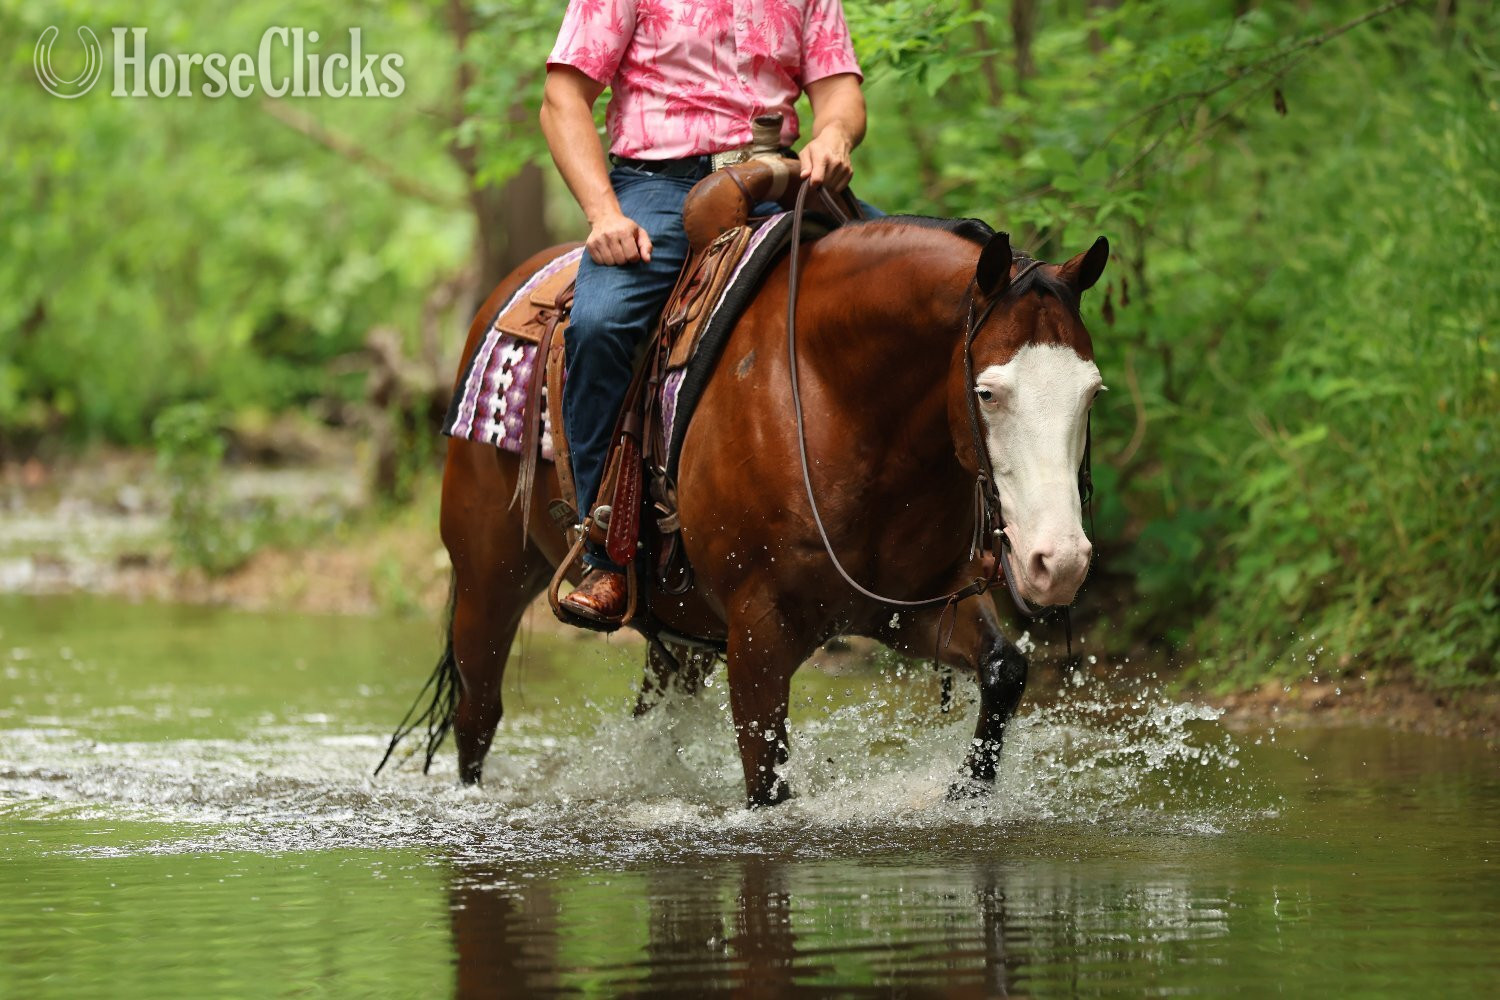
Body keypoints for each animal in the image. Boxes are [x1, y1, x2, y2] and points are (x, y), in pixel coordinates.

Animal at [396, 208, 1108, 808]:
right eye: (988, 392)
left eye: (1092, 392)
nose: (1060, 563)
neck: (836, 400)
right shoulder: (758, 636)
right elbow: (766, 781)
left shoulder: (915, 607)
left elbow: (1005, 670)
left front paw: (965, 791)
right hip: (489, 581)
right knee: (477, 716)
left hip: (678, 629)